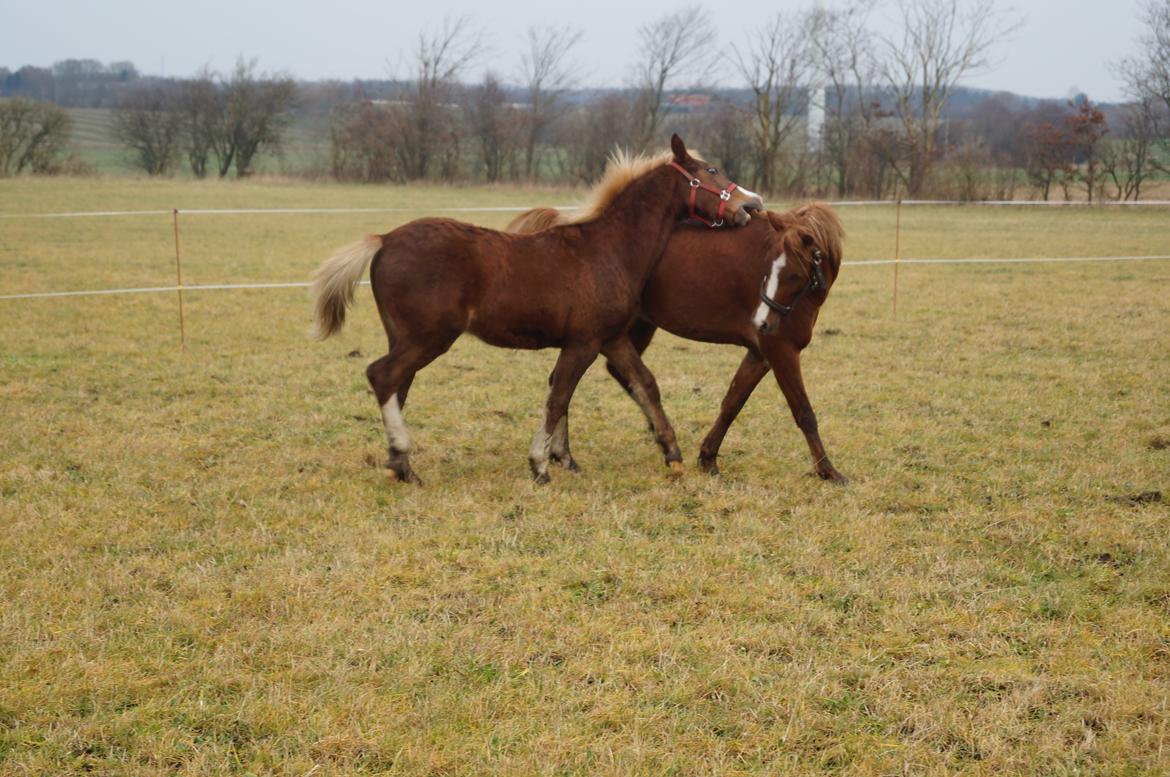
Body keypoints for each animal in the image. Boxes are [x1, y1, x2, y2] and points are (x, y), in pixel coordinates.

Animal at [311, 136, 767, 482]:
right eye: (711, 171)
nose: (752, 205)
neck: (609, 248)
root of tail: (384, 239)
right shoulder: (583, 342)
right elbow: (559, 396)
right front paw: (540, 465)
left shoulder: (611, 339)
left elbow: (642, 384)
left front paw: (670, 453)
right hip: (429, 337)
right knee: (383, 375)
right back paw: (404, 461)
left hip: (405, 337)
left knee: (395, 385)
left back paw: (399, 463)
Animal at [507, 193, 847, 486]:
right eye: (770, 268)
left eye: (794, 274)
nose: (762, 322)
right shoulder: (781, 351)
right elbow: (804, 412)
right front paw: (828, 471)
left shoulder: (760, 354)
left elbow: (732, 403)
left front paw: (708, 459)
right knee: (571, 384)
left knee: (582, 380)